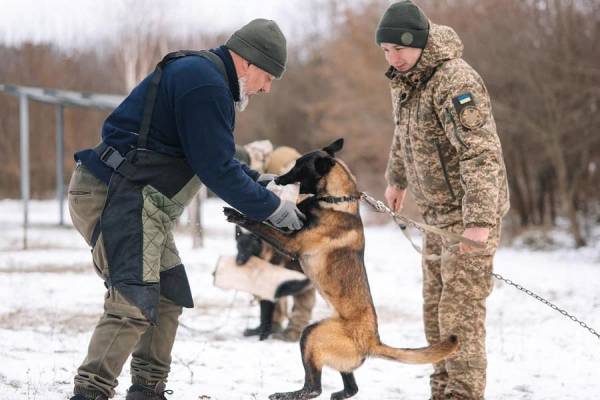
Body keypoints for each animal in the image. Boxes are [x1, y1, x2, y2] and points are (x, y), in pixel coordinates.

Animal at [223, 138, 458, 400]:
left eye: (298, 167)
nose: (278, 179)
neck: (336, 200)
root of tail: (373, 341)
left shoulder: (292, 244)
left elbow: (261, 225)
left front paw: (238, 215)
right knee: (351, 386)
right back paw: (339, 393)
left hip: (312, 335)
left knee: (313, 388)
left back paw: (288, 394)